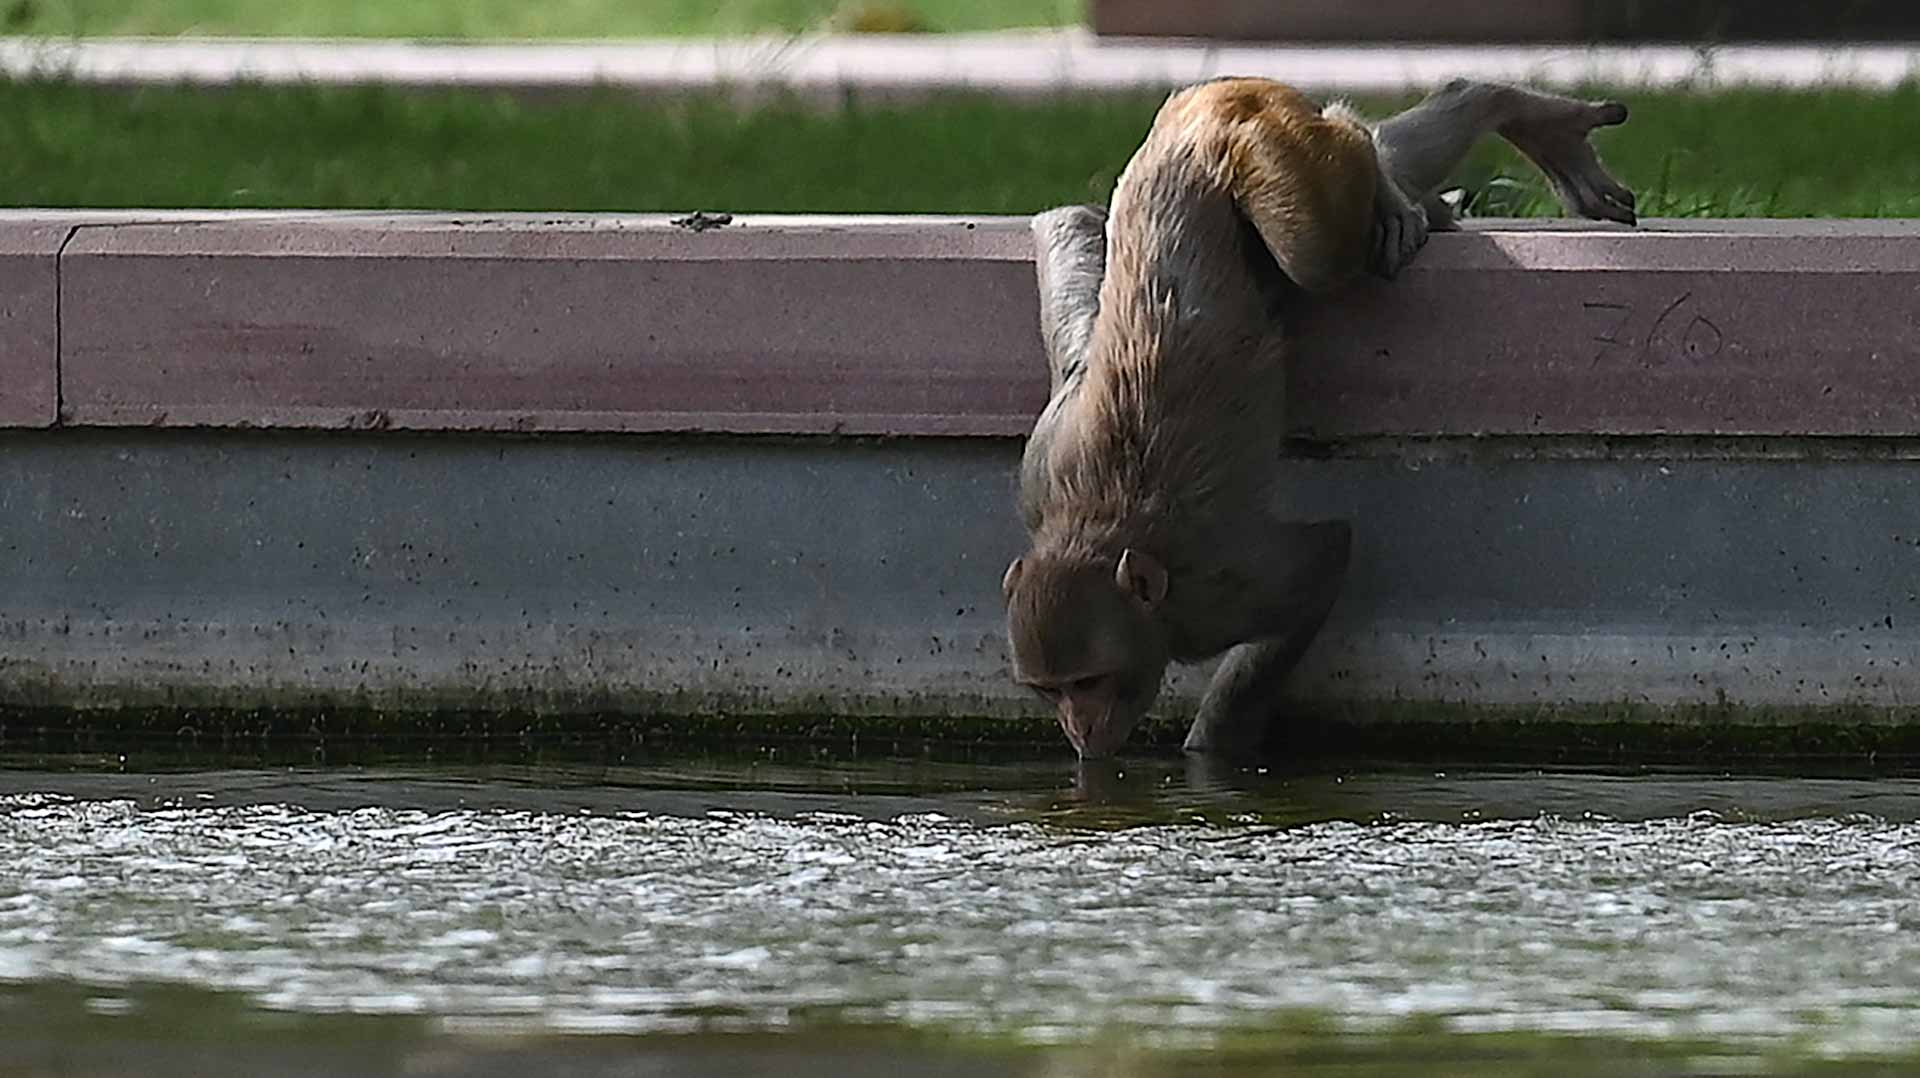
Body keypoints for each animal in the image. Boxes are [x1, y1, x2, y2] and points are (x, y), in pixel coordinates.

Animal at [1004, 78, 1636, 760]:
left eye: (1089, 681)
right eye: (1049, 690)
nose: (1078, 729)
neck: (1093, 531)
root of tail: (1209, 103)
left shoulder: (1218, 596)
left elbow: (1324, 557)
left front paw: (1213, 745)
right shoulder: (1039, 475)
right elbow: (1066, 229)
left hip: (1265, 145)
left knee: (1315, 251)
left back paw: (1408, 152)